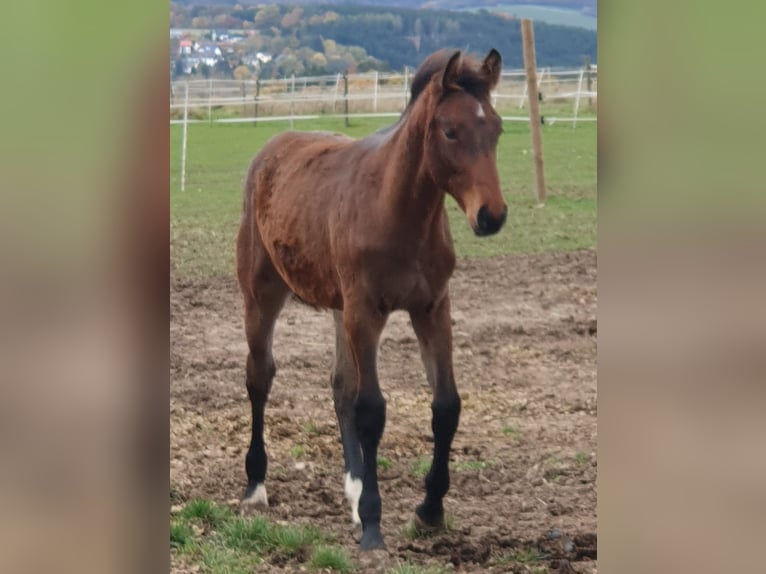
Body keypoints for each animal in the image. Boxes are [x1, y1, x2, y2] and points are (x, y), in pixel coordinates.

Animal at [235, 48, 507, 550]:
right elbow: (372, 409)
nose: (491, 216)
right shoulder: (366, 311)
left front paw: (428, 510)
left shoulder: (431, 308)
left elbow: (445, 406)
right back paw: (256, 486)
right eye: (450, 130)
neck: (398, 212)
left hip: (339, 308)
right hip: (262, 293)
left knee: (341, 385)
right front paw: (374, 524)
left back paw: (354, 491)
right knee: (260, 376)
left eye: (496, 128)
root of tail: (273, 145)